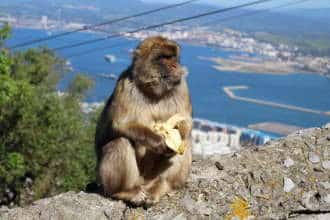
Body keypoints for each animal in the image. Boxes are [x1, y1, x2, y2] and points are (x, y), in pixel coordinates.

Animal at [95, 36, 192, 206]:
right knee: (120, 142)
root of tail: (144, 183)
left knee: (185, 143)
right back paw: (124, 192)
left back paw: (161, 186)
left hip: (153, 177)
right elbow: (122, 123)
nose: (176, 65)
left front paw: (177, 132)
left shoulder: (181, 86)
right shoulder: (125, 84)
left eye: (173, 57)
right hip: (127, 180)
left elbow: (186, 122)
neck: (154, 91)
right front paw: (158, 141)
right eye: (164, 58)